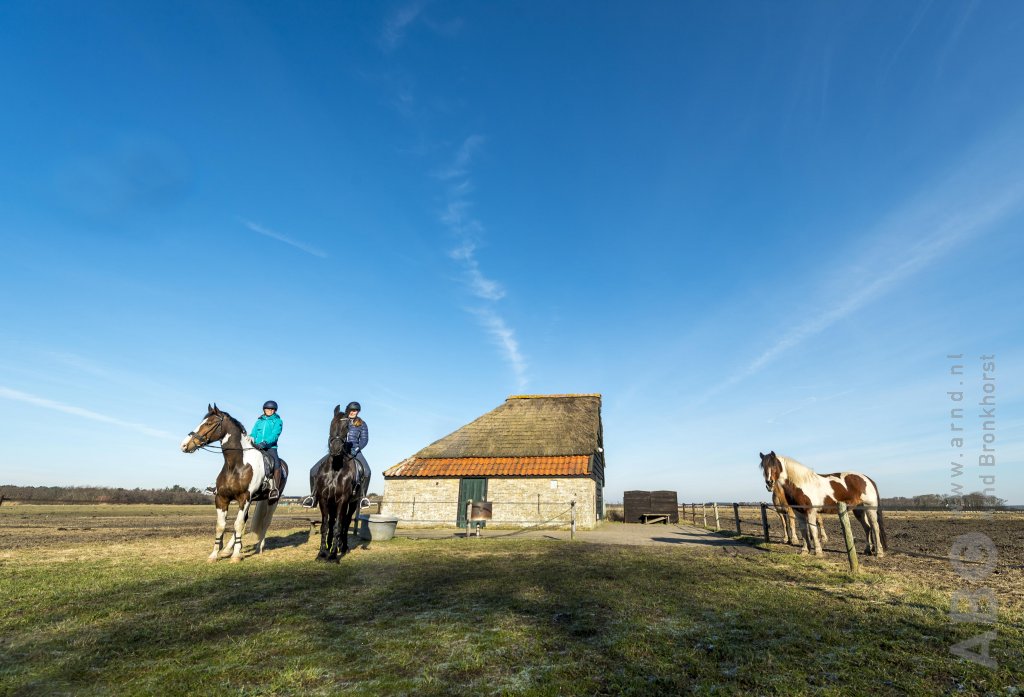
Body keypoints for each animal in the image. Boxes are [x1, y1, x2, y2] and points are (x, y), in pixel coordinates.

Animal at [180, 403, 288, 560]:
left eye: (209, 423)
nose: (184, 445)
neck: (236, 464)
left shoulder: (244, 498)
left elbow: (237, 524)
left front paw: (236, 555)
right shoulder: (222, 498)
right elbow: (221, 525)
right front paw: (215, 554)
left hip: (272, 500)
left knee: (266, 521)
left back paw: (259, 547)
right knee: (245, 519)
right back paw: (227, 549)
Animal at [311, 405, 364, 560]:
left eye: (347, 427)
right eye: (331, 424)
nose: (335, 449)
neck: (335, 468)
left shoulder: (343, 500)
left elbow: (338, 527)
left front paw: (334, 555)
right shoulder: (323, 499)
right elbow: (325, 525)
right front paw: (322, 552)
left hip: (352, 503)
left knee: (345, 523)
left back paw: (343, 547)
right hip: (332, 502)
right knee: (332, 521)